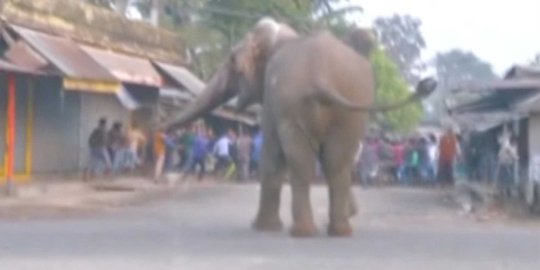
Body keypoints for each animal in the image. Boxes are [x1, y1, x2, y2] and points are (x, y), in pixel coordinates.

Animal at [167, 17, 436, 236]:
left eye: (233, 60)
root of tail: (320, 75)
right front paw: (352, 212)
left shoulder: (272, 99)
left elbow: (271, 155)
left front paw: (261, 227)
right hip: (351, 109)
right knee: (337, 164)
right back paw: (340, 230)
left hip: (296, 106)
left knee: (302, 163)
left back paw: (303, 232)